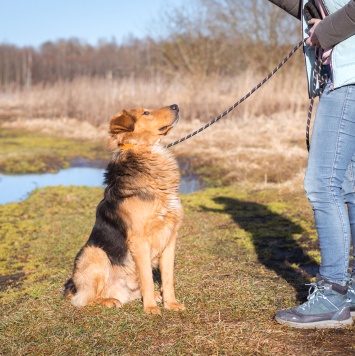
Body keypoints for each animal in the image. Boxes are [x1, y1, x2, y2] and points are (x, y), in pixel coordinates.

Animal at [64, 103, 185, 314]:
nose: (175, 105)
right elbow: (147, 277)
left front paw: (170, 303)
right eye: (146, 112)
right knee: (84, 299)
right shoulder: (139, 240)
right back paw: (109, 300)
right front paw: (151, 308)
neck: (146, 150)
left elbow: (168, 278)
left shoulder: (170, 237)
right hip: (94, 253)